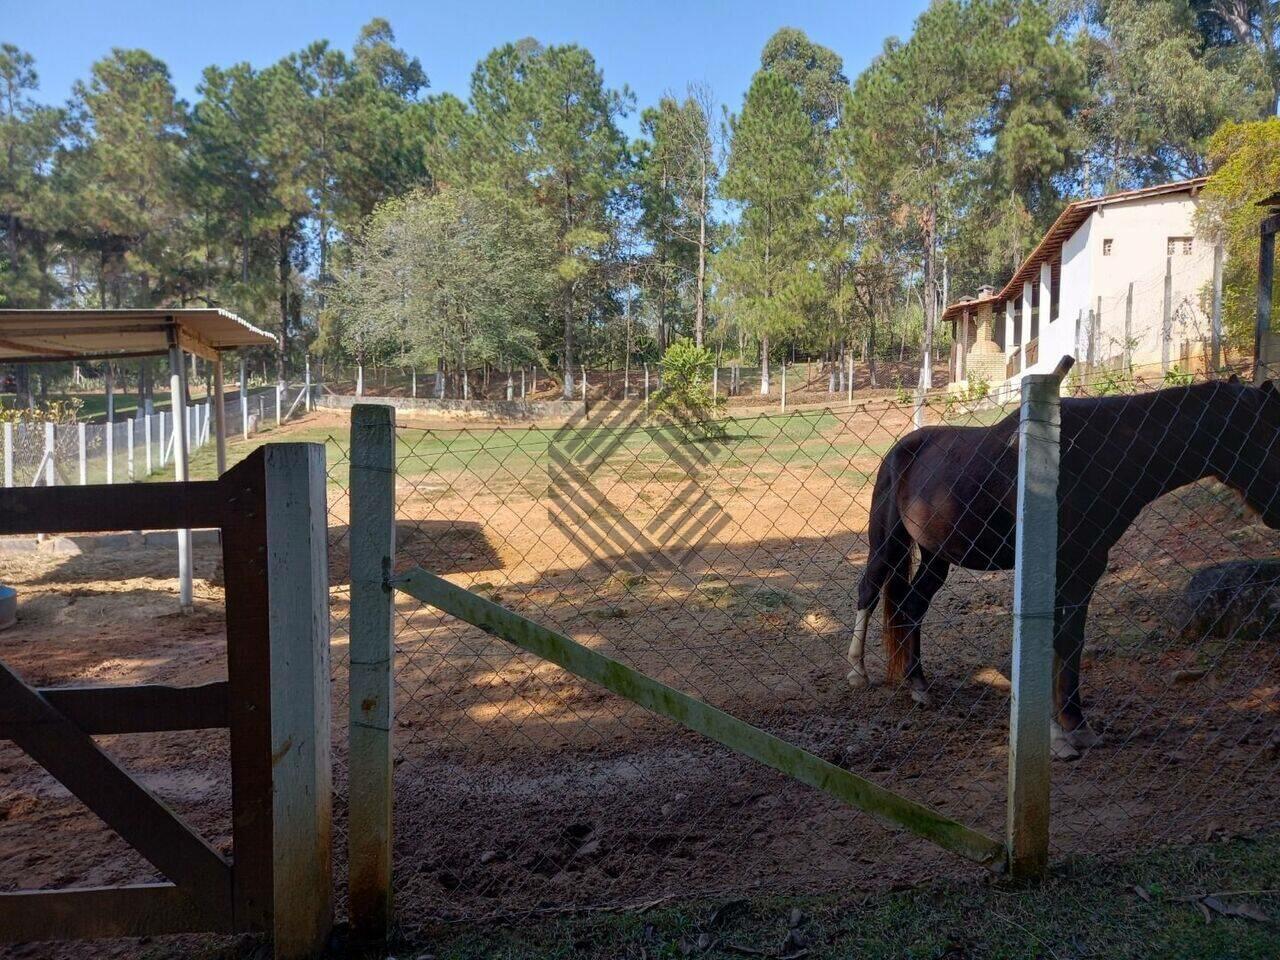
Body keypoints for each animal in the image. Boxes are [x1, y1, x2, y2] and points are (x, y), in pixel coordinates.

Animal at [849, 358, 1280, 762]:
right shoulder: (1064, 567)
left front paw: (1074, 726)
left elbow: (1071, 640)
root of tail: (900, 451)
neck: (1095, 454)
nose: (1277, 512)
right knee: (869, 591)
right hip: (888, 544)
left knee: (912, 606)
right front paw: (1061, 734)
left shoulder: (1087, 565)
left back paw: (919, 686)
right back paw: (858, 673)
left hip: (937, 556)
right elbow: (1060, 638)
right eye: (1269, 434)